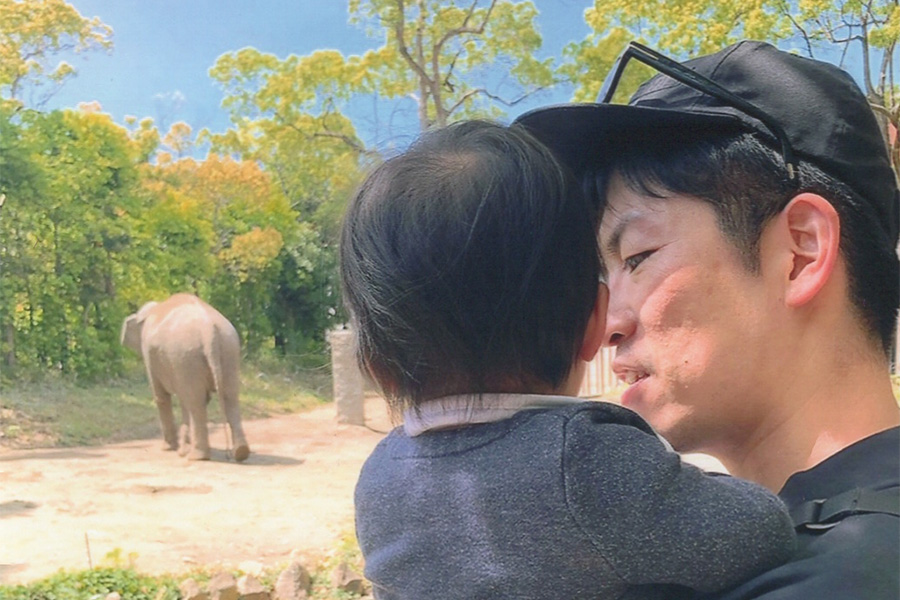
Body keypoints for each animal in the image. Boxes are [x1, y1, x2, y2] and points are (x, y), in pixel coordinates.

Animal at [120, 296, 250, 464]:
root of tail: (209, 330)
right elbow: (187, 399)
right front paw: (183, 445)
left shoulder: (150, 353)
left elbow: (162, 397)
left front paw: (170, 448)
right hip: (229, 351)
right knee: (230, 398)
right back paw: (240, 453)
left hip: (187, 356)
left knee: (196, 402)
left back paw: (197, 456)